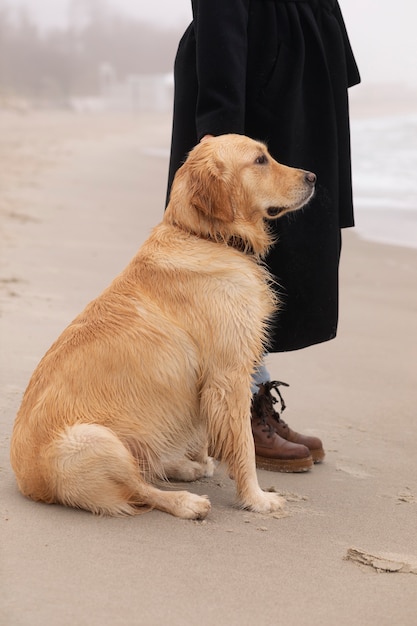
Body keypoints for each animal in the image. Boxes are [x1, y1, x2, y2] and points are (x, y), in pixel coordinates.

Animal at [9, 134, 314, 520]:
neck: (203, 235)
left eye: (268, 155)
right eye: (260, 160)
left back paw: (186, 466)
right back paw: (187, 501)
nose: (313, 177)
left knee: (144, 472)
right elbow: (244, 445)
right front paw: (256, 498)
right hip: (91, 441)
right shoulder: (229, 375)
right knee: (140, 488)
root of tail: (28, 483)